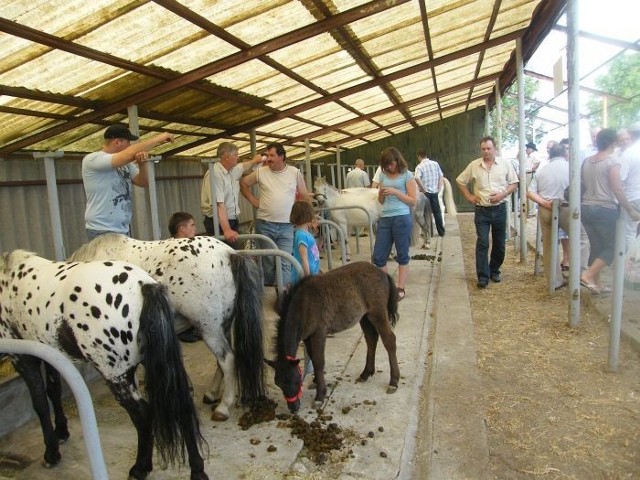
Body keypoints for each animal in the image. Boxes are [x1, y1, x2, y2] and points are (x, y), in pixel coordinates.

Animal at [0, 251, 208, 480]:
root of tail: (145, 286)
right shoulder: (51, 353)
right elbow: (53, 392)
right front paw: (62, 432)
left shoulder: (23, 359)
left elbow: (40, 404)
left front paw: (51, 453)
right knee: (183, 403)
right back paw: (197, 470)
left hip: (116, 374)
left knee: (143, 416)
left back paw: (139, 468)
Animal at [266, 262, 398, 412]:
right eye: (278, 383)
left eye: (296, 379)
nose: (293, 408)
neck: (304, 304)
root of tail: (382, 273)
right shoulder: (307, 337)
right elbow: (313, 358)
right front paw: (316, 382)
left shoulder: (319, 333)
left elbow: (318, 362)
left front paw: (319, 396)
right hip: (364, 316)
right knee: (371, 338)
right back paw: (366, 373)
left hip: (378, 313)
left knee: (389, 340)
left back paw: (393, 382)